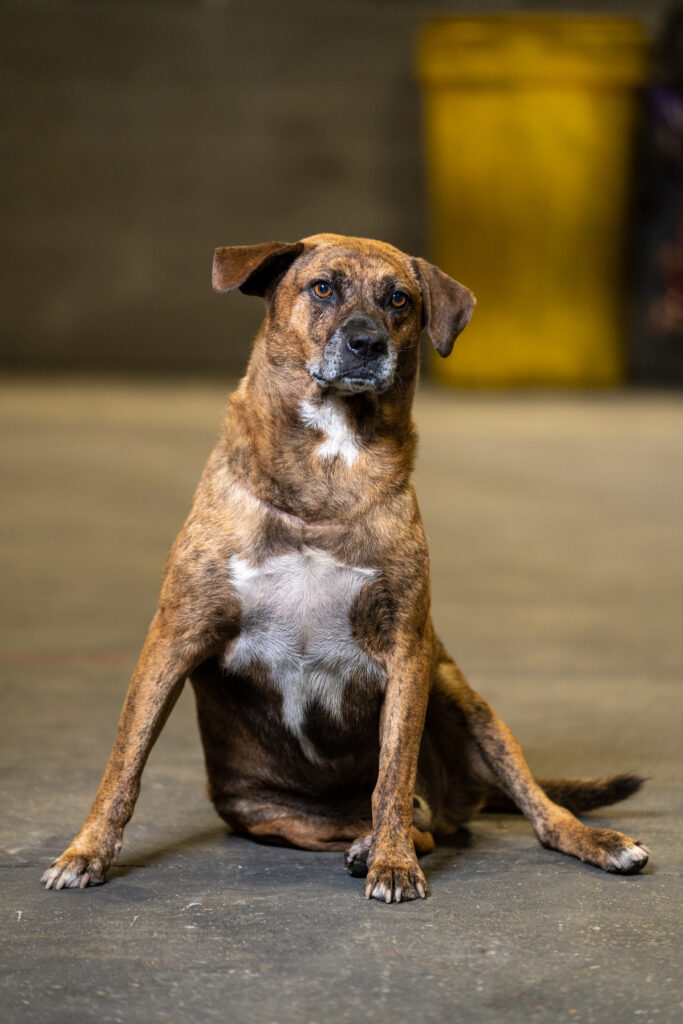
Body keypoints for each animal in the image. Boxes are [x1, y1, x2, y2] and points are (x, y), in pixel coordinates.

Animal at [40, 234, 651, 905]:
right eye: (323, 287)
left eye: (399, 299)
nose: (367, 343)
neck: (328, 469)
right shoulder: (175, 636)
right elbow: (124, 763)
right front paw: (87, 851)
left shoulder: (408, 650)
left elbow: (393, 773)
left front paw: (392, 862)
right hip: (274, 815)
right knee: (413, 825)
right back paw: (364, 842)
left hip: (462, 697)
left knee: (523, 811)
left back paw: (587, 841)